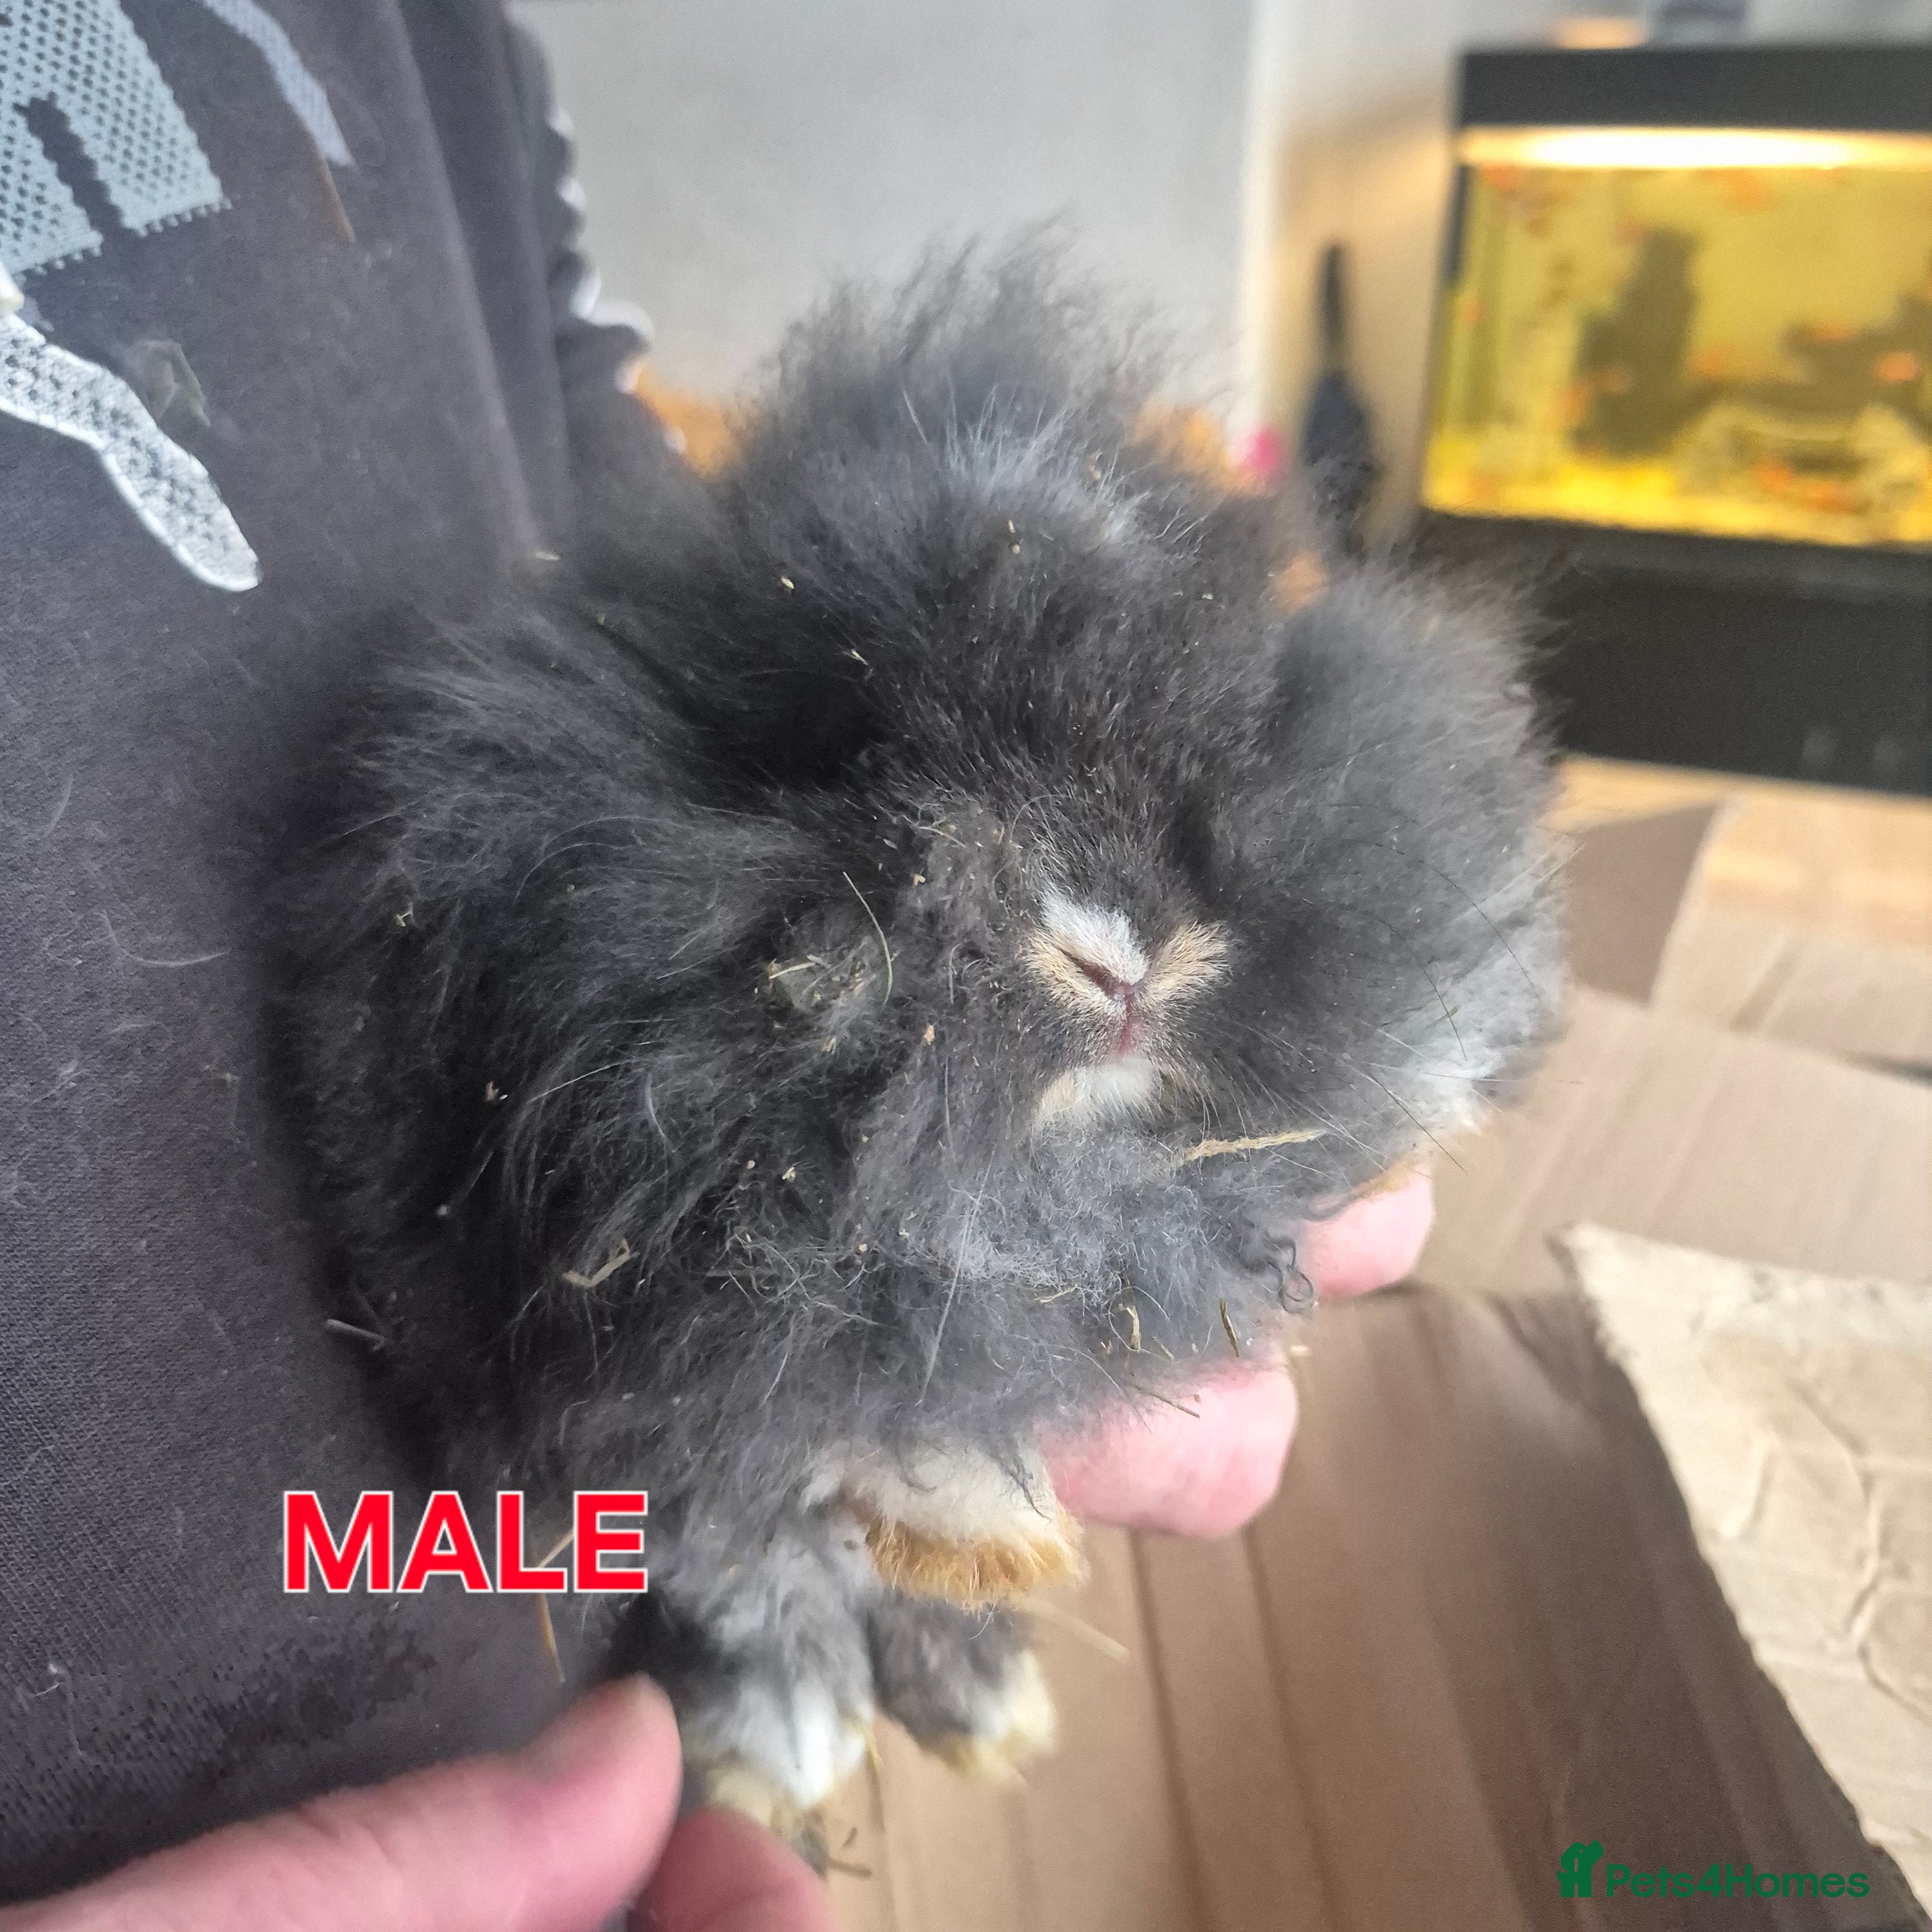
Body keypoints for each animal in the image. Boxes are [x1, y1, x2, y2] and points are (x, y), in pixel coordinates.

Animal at [281, 244, 1563, 1856]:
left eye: (1234, 700)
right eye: (844, 749)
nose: (1124, 948)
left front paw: (977, 1699)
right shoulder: (661, 1414)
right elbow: (749, 1558)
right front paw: (780, 1743)